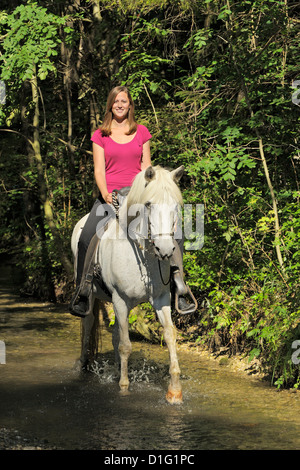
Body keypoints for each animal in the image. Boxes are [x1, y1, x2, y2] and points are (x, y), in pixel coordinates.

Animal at [71, 165, 185, 404]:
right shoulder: (120, 299)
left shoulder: (160, 299)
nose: (165, 250)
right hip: (92, 297)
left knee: (115, 332)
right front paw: (124, 386)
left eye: (176, 205)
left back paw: (115, 370)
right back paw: (84, 366)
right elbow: (125, 345)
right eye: (149, 204)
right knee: (88, 324)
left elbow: (170, 335)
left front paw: (174, 391)